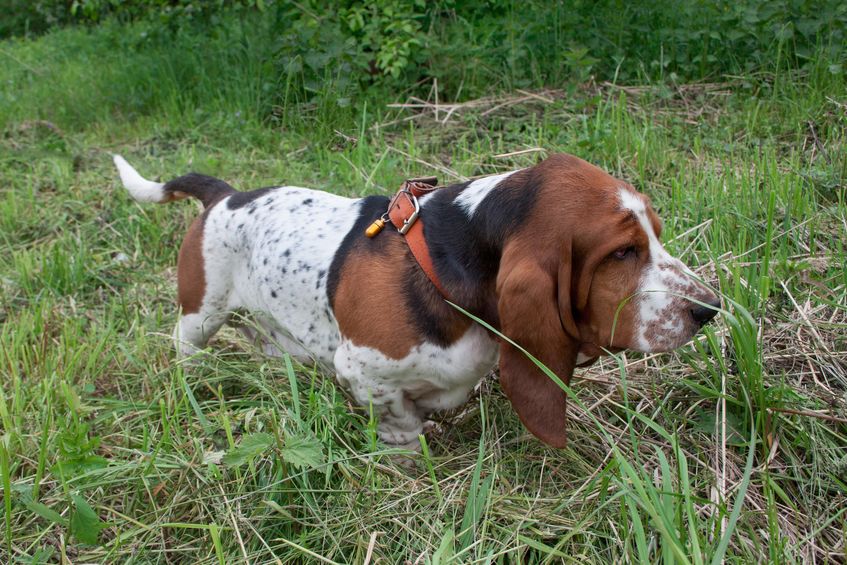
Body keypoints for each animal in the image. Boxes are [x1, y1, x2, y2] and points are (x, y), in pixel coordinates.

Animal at [114, 152, 724, 448]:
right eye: (622, 252)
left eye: (655, 235)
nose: (710, 309)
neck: (448, 263)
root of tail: (225, 196)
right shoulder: (361, 368)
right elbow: (400, 418)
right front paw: (408, 451)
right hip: (200, 315)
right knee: (187, 346)